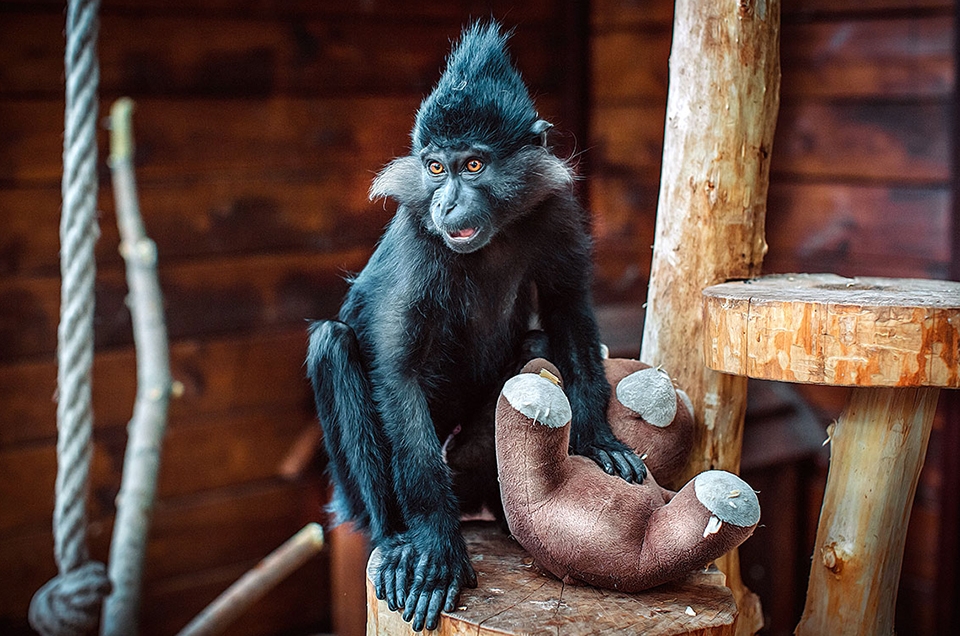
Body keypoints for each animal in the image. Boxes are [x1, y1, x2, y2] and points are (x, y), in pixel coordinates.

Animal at [308, 19, 644, 632]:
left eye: (472, 165)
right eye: (435, 167)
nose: (446, 204)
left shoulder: (554, 211)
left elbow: (566, 309)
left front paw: (596, 438)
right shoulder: (419, 238)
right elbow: (398, 372)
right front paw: (436, 548)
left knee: (537, 345)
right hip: (354, 489)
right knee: (333, 342)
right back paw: (398, 538)